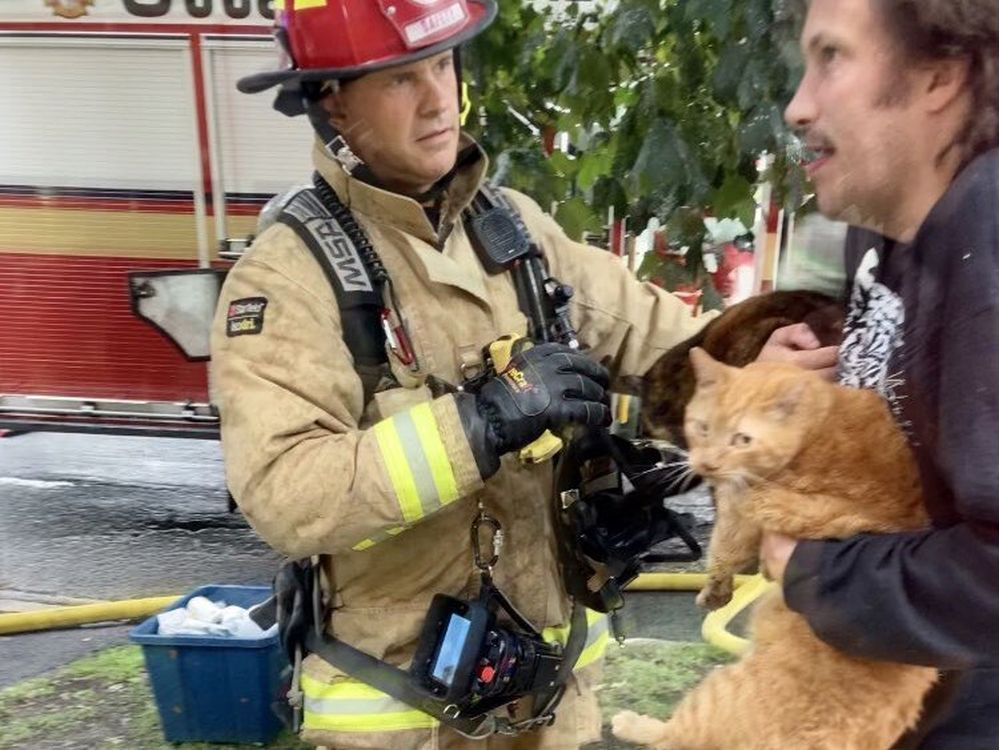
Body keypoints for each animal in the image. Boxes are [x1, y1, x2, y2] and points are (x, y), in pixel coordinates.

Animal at [612, 350, 940, 748]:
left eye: (742, 439)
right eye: (703, 428)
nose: (706, 464)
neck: (820, 420)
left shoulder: (745, 502)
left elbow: (724, 546)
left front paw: (714, 589)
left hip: (714, 694)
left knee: (672, 737)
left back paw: (632, 723)